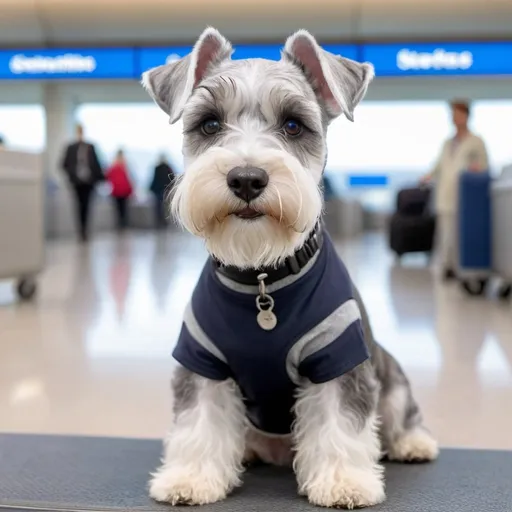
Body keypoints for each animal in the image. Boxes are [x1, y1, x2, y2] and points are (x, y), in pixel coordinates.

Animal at [142, 30, 438, 510]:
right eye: (209, 124)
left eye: (294, 125)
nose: (246, 178)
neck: (263, 279)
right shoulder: (202, 359)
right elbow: (199, 420)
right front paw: (191, 477)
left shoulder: (338, 357)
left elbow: (340, 421)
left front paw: (343, 482)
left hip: (388, 372)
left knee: (398, 411)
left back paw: (413, 443)